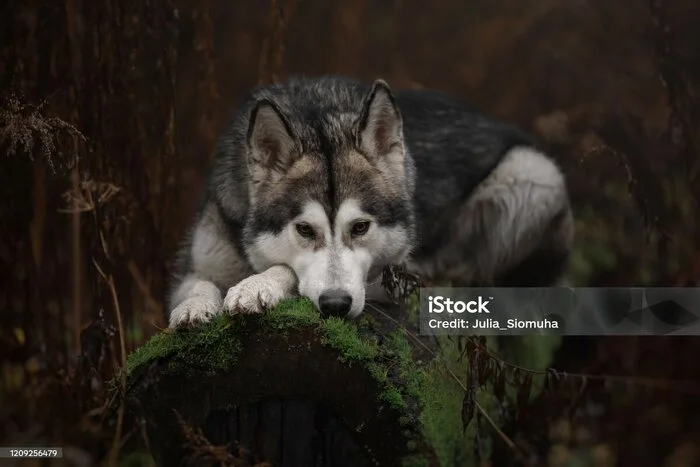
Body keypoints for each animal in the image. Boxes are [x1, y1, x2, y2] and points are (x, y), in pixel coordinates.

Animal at [165, 76, 576, 330]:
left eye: (360, 227)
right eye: (304, 229)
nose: (335, 306)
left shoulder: (389, 281)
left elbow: (289, 271)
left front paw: (255, 286)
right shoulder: (198, 262)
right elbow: (196, 286)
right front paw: (193, 308)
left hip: (534, 172)